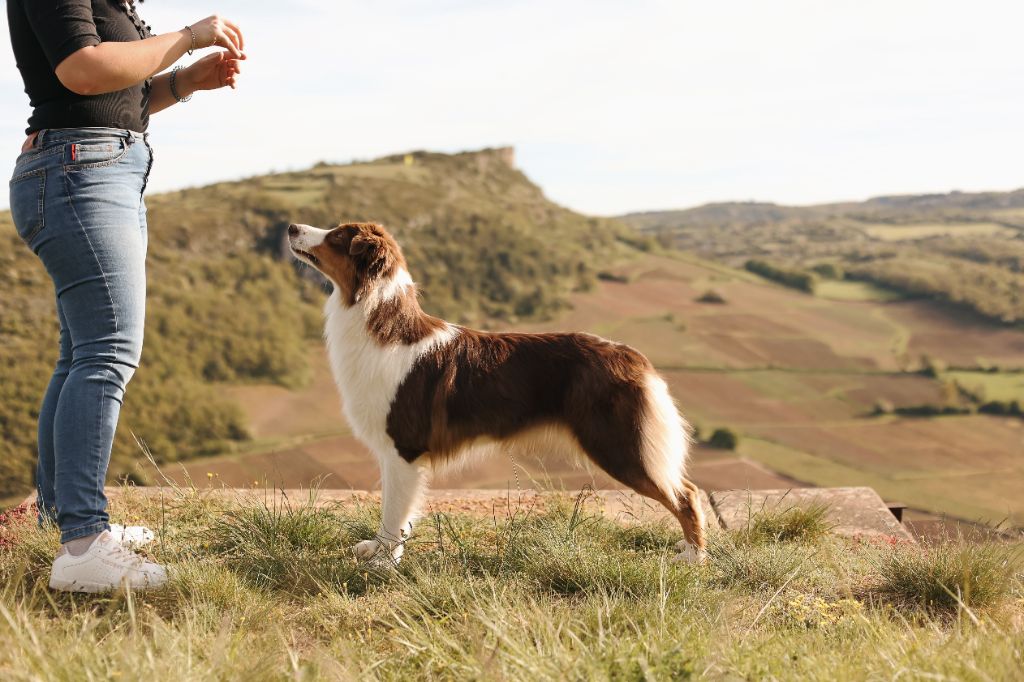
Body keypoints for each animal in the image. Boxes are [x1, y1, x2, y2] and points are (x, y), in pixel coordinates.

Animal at [284, 220, 708, 561]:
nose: (290, 226)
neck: (379, 322)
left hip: (618, 446)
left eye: (336, 237)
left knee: (686, 493)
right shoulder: (393, 453)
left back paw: (693, 557)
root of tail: (632, 356)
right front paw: (376, 549)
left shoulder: (404, 446)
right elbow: (392, 509)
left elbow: (395, 512)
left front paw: (385, 564)